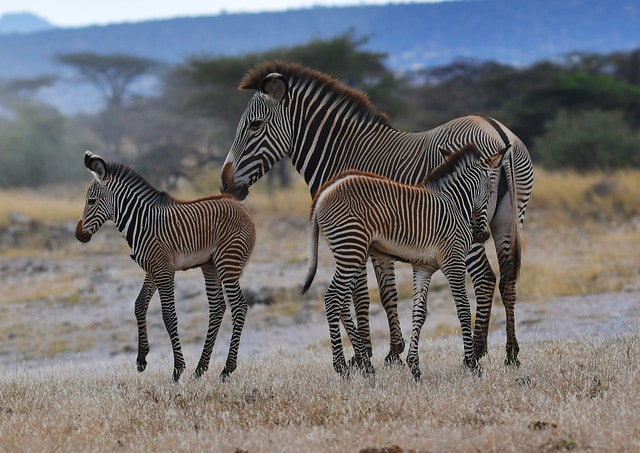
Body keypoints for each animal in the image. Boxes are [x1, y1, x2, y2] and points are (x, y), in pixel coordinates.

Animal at [75, 152, 255, 382]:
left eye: (91, 201)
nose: (78, 235)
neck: (141, 222)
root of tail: (242, 207)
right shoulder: (152, 270)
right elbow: (139, 305)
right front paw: (142, 358)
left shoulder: (163, 270)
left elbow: (168, 315)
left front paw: (178, 369)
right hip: (210, 265)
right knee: (217, 308)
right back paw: (200, 369)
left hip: (227, 262)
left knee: (239, 306)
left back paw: (227, 369)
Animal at [302, 144, 508, 378]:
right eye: (491, 191)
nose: (481, 236)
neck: (455, 203)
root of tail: (323, 193)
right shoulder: (453, 260)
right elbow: (463, 309)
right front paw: (472, 364)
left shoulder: (423, 267)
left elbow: (420, 313)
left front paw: (415, 366)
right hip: (351, 249)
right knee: (332, 298)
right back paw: (341, 366)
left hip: (351, 252)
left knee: (343, 301)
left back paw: (365, 365)